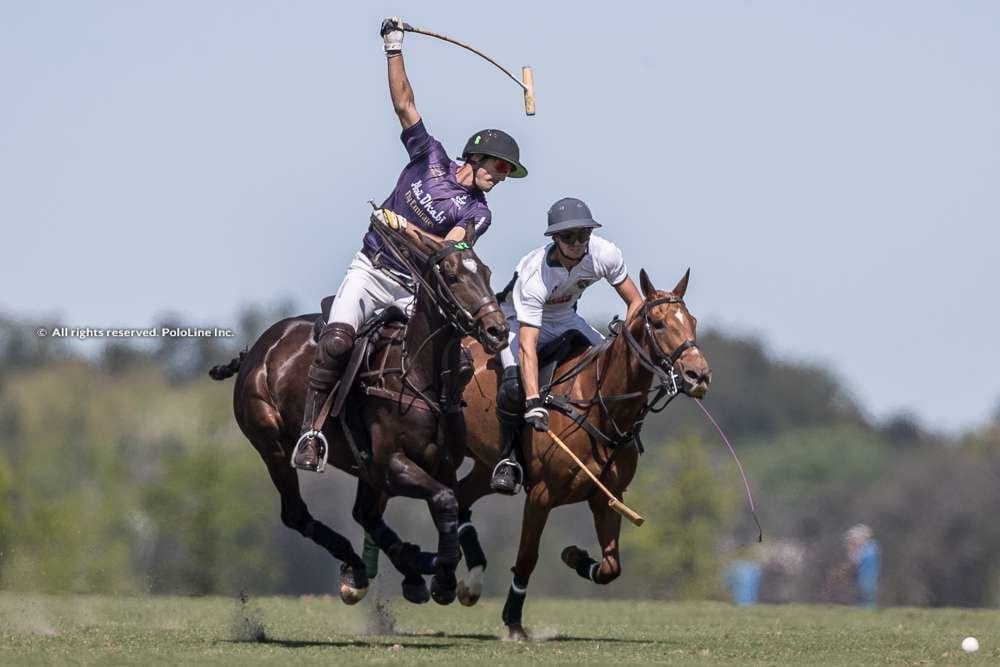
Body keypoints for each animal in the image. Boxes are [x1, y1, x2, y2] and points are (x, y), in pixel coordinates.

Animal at [210, 228, 508, 604]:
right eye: (452, 276)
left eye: (486, 274)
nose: (498, 331)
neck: (416, 375)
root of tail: (257, 349)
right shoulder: (391, 464)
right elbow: (445, 500)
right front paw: (441, 579)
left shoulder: (439, 466)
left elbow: (451, 505)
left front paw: (437, 571)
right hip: (272, 445)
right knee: (296, 513)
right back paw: (360, 561)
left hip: (361, 467)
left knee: (362, 513)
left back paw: (405, 568)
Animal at [452, 268, 712, 640]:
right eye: (659, 323)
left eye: (692, 321)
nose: (699, 375)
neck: (600, 405)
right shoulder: (541, 494)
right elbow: (527, 557)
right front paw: (513, 623)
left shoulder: (608, 496)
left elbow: (611, 566)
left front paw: (574, 556)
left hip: (485, 465)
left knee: (460, 497)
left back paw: (470, 584)